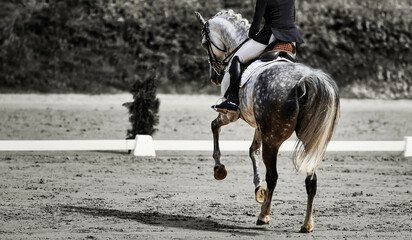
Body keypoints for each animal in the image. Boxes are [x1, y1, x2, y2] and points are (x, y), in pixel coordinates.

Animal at [195, 9, 340, 232]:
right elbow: (252, 150)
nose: (214, 77)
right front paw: (257, 188)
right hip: (308, 140)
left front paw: (219, 168)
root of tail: (305, 80)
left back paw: (263, 216)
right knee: (311, 180)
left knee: (274, 176)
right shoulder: (258, 125)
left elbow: (214, 126)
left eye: (204, 43)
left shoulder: (231, 114)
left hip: (273, 138)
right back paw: (307, 224)